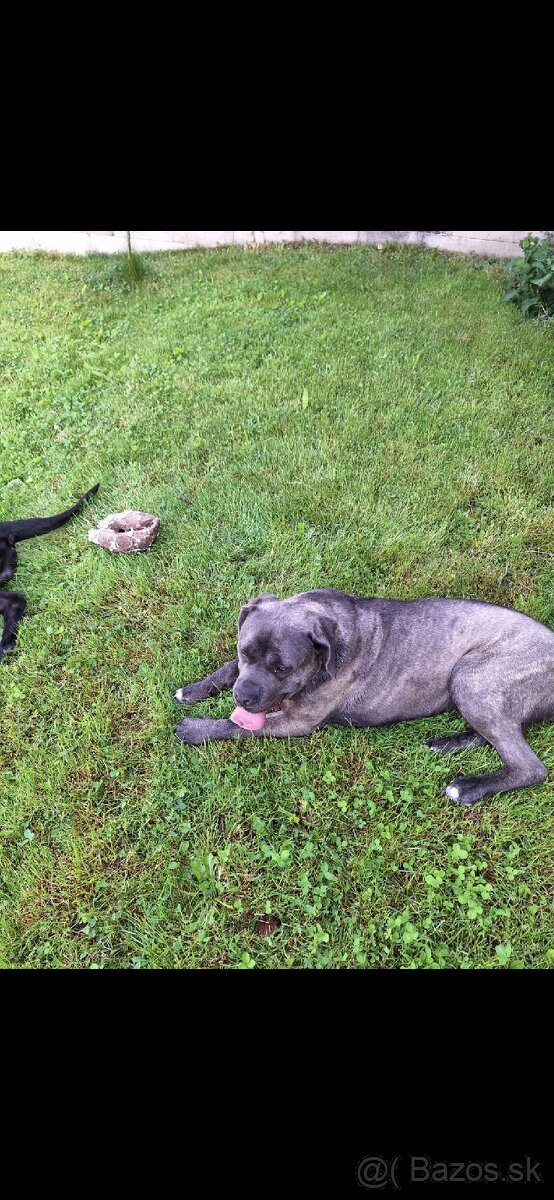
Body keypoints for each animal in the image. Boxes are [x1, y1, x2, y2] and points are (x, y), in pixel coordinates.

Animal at [175, 590, 554, 806]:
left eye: (283, 668)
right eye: (245, 651)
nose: (243, 697)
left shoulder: (299, 721)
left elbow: (237, 727)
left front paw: (197, 729)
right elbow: (226, 669)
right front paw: (194, 689)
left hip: (470, 676)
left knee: (529, 767)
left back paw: (468, 788)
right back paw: (446, 744)